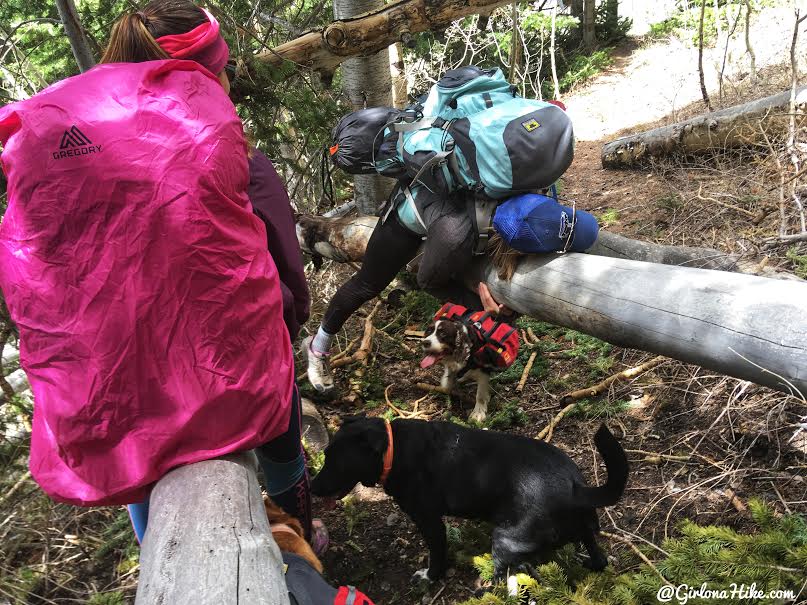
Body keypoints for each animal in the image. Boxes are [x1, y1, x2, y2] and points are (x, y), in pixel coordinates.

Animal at [310, 416, 632, 580]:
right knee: (598, 557)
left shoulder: (429, 521)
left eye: (335, 461)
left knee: (501, 574)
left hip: (506, 540)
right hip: (585, 531)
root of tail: (575, 488)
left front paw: (431, 577)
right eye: (325, 454)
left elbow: (437, 555)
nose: (311, 487)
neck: (393, 448)